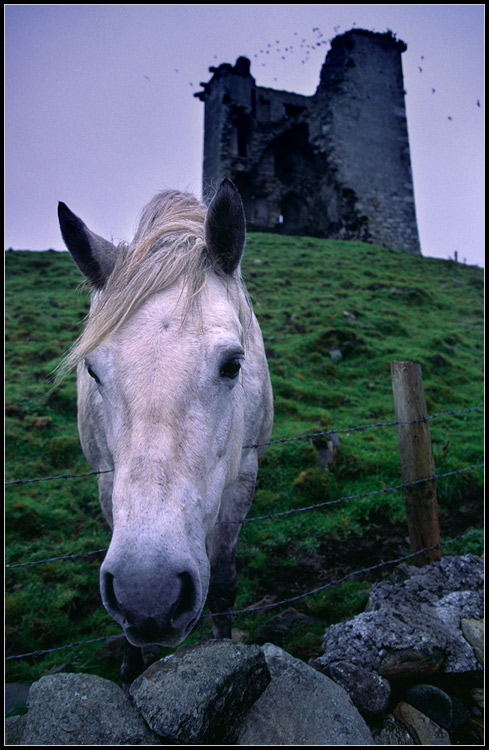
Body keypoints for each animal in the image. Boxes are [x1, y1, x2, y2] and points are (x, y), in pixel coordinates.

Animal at [56, 179, 274, 684]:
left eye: (233, 365)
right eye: (92, 371)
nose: (148, 595)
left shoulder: (244, 474)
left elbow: (225, 582)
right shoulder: (107, 480)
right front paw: (131, 663)